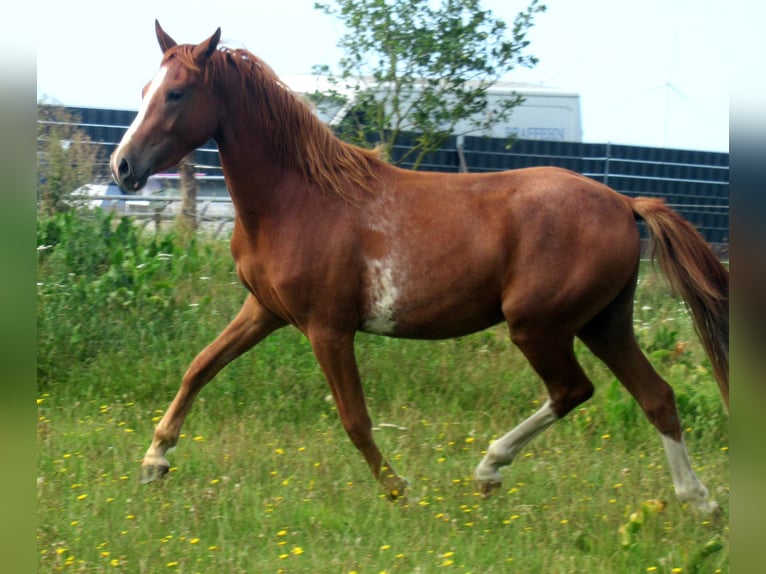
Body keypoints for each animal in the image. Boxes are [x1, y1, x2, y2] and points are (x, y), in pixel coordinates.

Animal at [111, 21, 728, 512]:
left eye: (176, 93)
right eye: (143, 90)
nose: (122, 167)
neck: (298, 198)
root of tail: (624, 202)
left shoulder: (327, 328)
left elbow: (354, 418)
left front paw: (397, 488)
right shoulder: (264, 310)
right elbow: (200, 367)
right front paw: (154, 461)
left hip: (540, 326)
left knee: (573, 390)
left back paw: (489, 468)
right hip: (604, 323)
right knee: (657, 397)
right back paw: (698, 502)